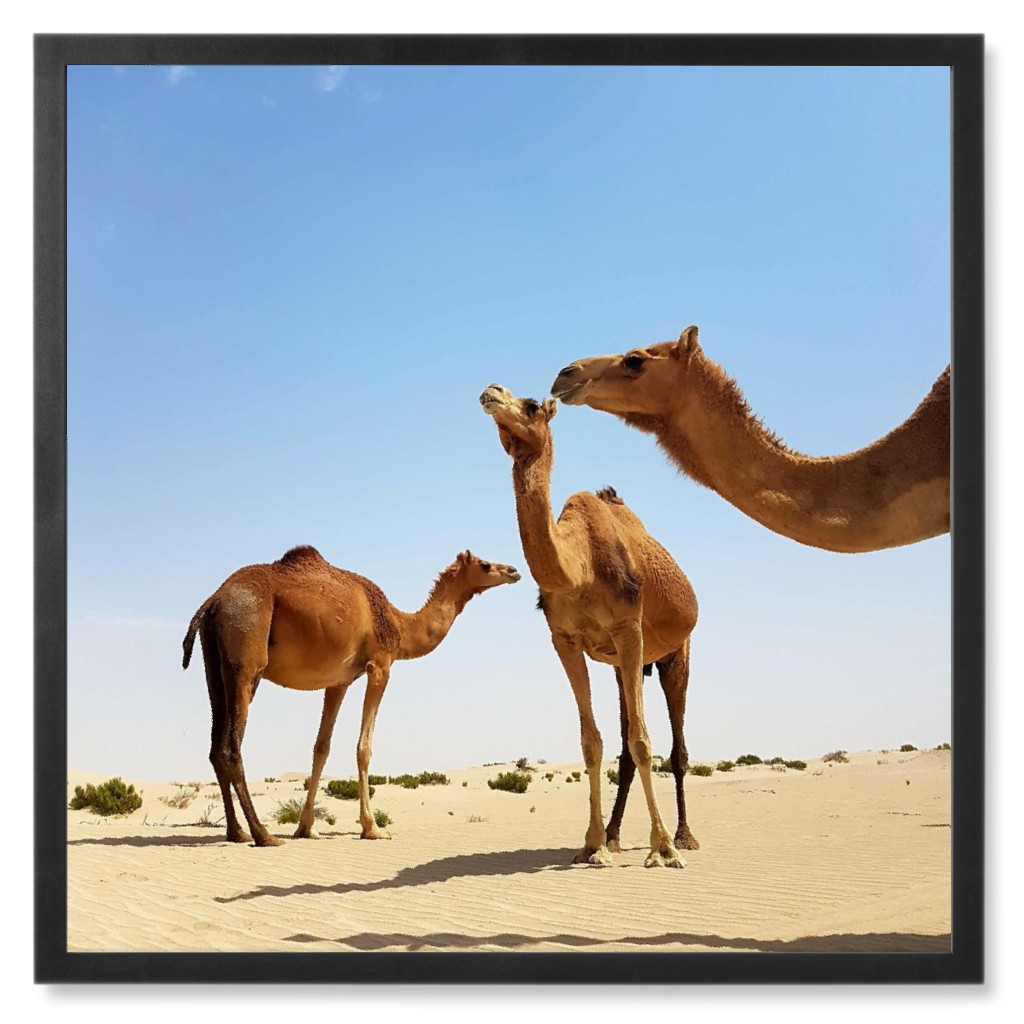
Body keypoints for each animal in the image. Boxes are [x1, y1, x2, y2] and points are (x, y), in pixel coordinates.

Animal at [182, 545, 520, 847]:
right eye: (485, 564)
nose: (514, 571)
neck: (399, 624)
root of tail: (213, 601)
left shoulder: (338, 681)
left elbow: (321, 748)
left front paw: (307, 828)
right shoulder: (380, 666)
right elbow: (364, 747)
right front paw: (373, 828)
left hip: (214, 662)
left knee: (216, 747)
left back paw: (237, 833)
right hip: (247, 655)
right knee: (231, 747)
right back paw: (263, 835)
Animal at [480, 384, 699, 868]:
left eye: (531, 405)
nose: (490, 392)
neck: (577, 567)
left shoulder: (629, 628)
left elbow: (643, 741)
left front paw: (662, 849)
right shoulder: (564, 640)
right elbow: (592, 742)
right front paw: (594, 844)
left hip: (677, 653)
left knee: (676, 747)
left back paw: (685, 836)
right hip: (621, 666)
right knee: (623, 742)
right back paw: (616, 836)